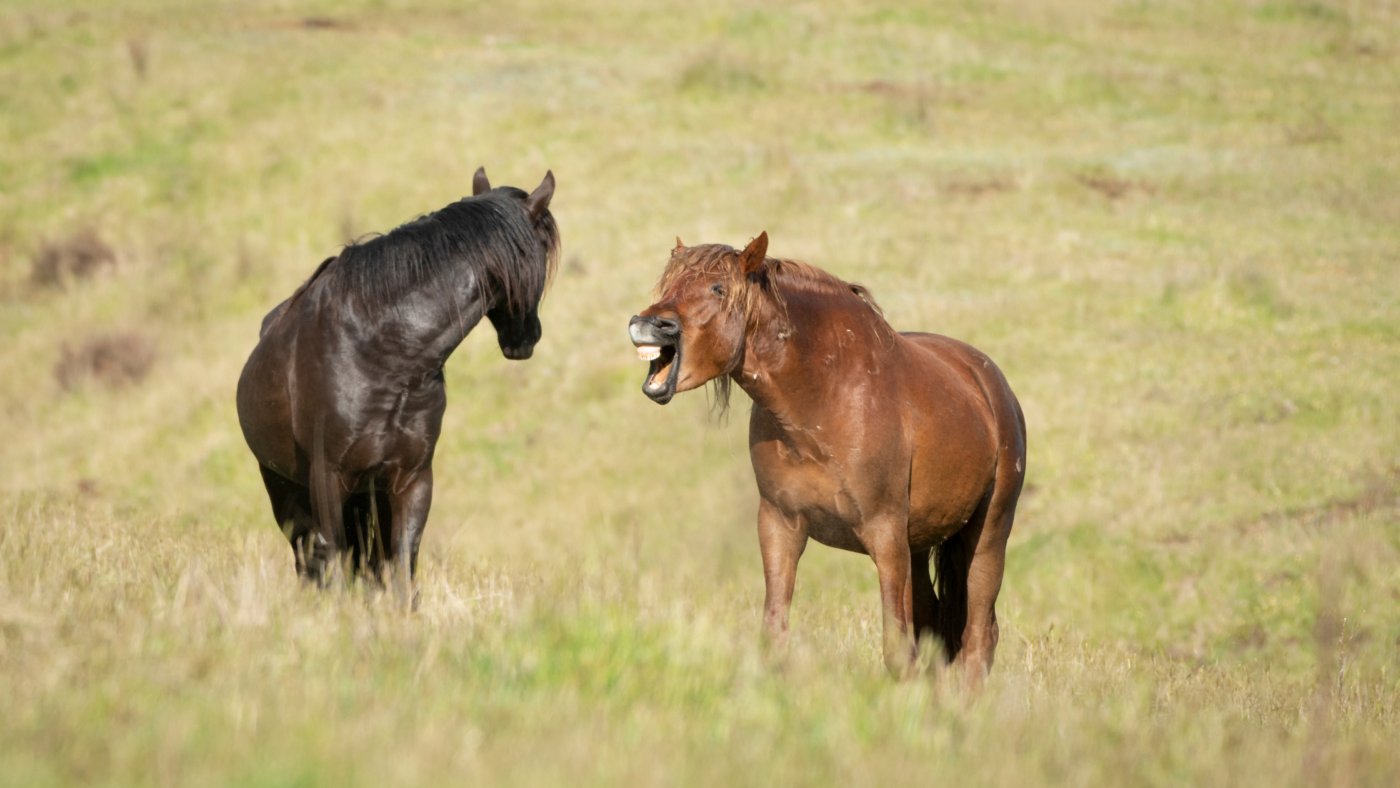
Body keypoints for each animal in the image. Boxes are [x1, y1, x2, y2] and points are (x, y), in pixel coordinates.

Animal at [630, 232, 1024, 685]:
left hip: (987, 537)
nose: (646, 325)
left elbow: (896, 648)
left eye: (718, 288)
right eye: (669, 284)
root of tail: (992, 386)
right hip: (921, 544)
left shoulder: (886, 534)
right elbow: (775, 632)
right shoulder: (780, 524)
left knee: (978, 639)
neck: (825, 399)